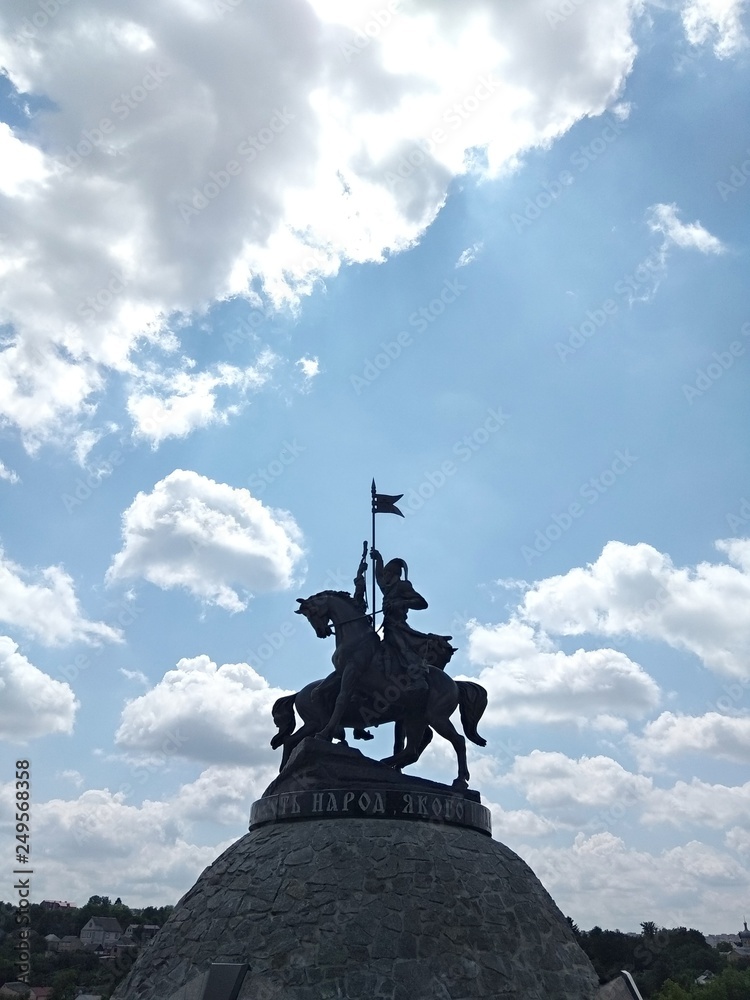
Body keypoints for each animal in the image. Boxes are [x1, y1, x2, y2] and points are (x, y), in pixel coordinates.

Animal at [270, 584, 488, 788]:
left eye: (313, 612)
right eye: (307, 616)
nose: (322, 632)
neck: (356, 637)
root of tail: (454, 683)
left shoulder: (352, 672)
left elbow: (341, 699)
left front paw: (325, 734)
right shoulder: (340, 673)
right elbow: (325, 690)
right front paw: (319, 701)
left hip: (435, 716)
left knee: (457, 741)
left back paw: (459, 780)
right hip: (415, 717)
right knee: (413, 748)